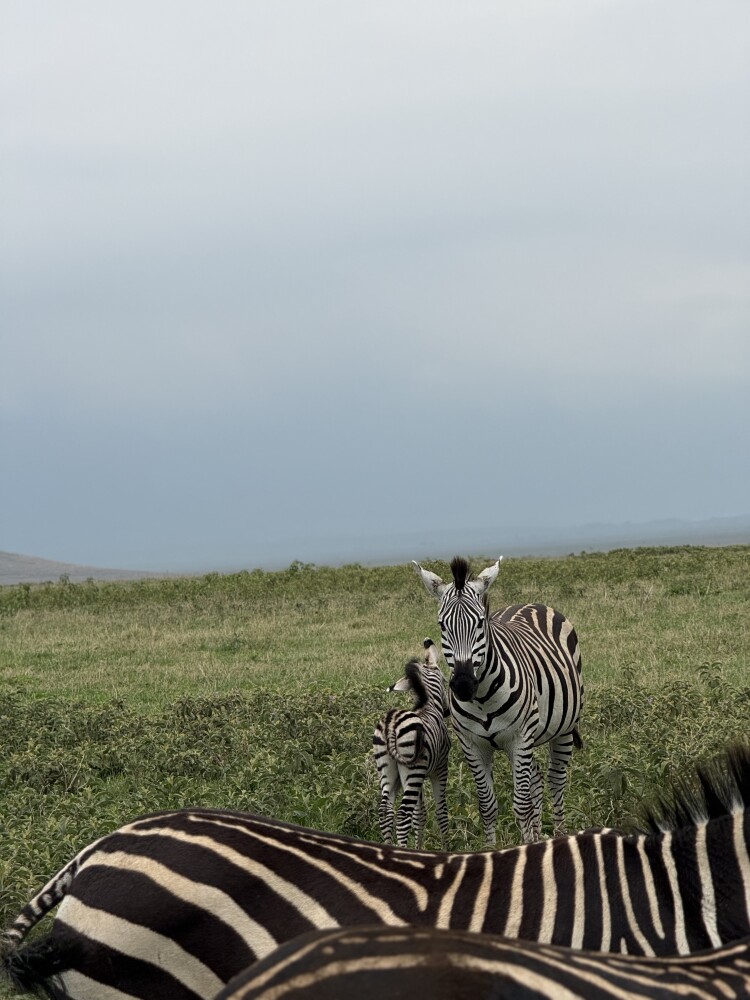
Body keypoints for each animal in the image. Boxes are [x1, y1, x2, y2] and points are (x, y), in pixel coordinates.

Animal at [373, 638, 451, 849]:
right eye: (446, 681)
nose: (448, 711)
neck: (428, 705)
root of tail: (390, 725)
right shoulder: (439, 769)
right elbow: (441, 812)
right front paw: (446, 846)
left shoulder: (419, 777)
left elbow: (420, 815)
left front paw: (420, 848)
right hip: (412, 770)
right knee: (402, 816)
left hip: (388, 772)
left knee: (385, 813)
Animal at [413, 555, 583, 844]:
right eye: (442, 625)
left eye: (481, 622)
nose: (463, 685)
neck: (482, 699)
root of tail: (531, 604)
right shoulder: (472, 745)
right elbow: (487, 806)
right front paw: (493, 848)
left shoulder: (520, 738)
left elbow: (522, 805)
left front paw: (527, 848)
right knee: (538, 781)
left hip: (564, 728)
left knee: (555, 782)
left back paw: (558, 834)